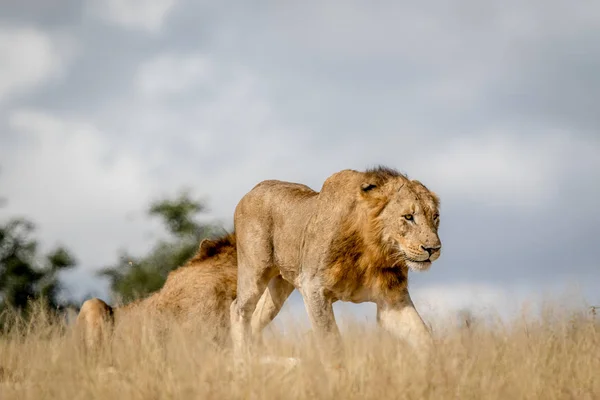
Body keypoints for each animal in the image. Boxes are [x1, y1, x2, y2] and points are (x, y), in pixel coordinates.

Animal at [230, 165, 440, 366]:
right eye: (408, 217)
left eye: (435, 216)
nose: (434, 249)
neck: (373, 251)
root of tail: (254, 189)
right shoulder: (313, 287)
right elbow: (332, 345)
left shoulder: (392, 300)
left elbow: (424, 336)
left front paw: (435, 371)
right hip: (254, 272)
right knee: (239, 309)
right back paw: (242, 362)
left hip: (279, 286)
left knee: (255, 320)